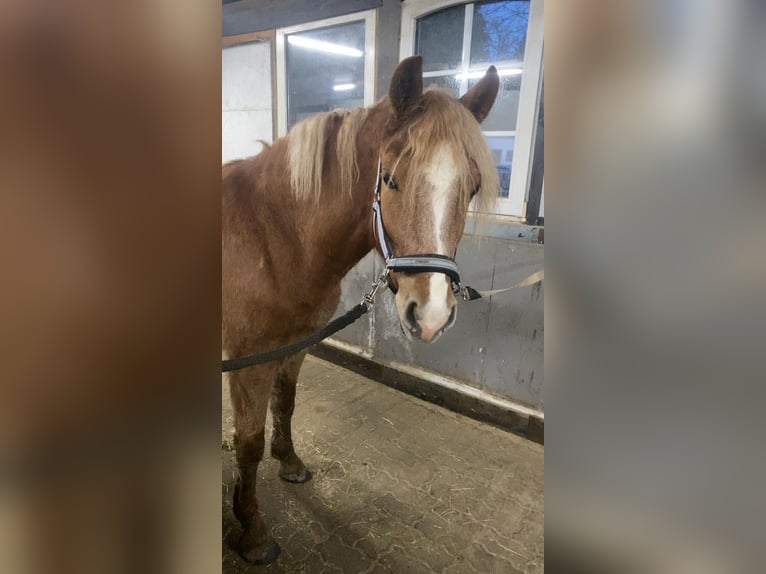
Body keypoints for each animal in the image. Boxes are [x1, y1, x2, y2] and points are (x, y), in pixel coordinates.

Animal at [219, 55, 500, 568]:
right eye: (389, 179)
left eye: (471, 189)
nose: (429, 314)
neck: (272, 234)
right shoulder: (249, 362)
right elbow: (248, 442)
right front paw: (252, 531)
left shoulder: (297, 346)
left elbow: (285, 404)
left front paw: (290, 462)